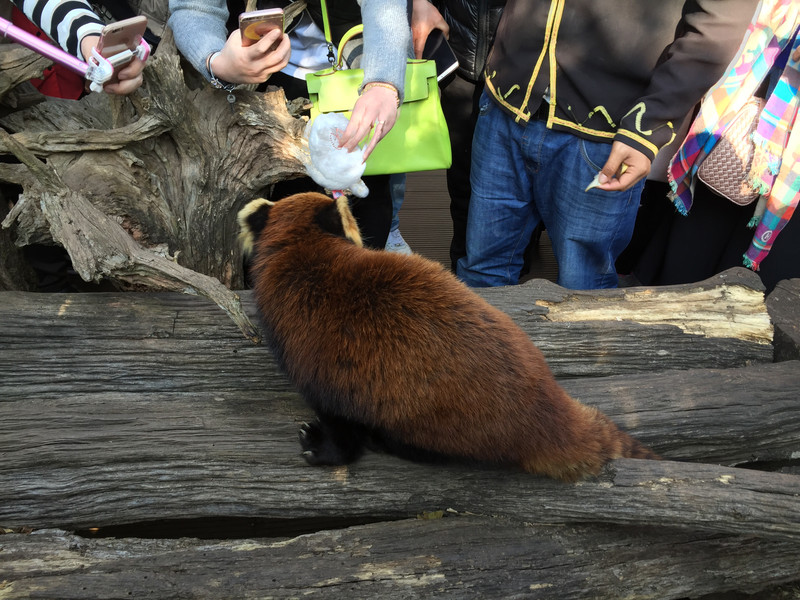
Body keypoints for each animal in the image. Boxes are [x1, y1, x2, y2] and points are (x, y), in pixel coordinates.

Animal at [236, 192, 656, 482]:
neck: (299, 247)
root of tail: (545, 402)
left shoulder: (317, 357)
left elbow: (339, 419)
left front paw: (323, 446)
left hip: (433, 414)